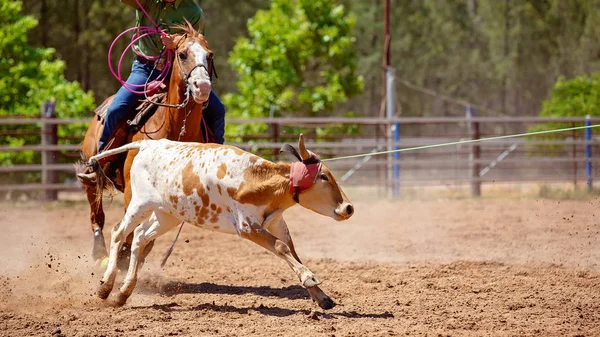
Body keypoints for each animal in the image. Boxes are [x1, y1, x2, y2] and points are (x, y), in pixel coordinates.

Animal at [77, 22, 213, 264]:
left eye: (209, 55)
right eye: (182, 54)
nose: (203, 87)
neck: (173, 128)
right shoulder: (134, 190)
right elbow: (129, 227)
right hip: (93, 178)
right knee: (97, 213)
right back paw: (100, 253)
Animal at [88, 134, 352, 308]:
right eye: (324, 176)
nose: (348, 208)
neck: (254, 180)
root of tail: (148, 144)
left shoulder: (277, 223)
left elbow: (291, 250)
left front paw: (321, 296)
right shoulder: (247, 227)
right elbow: (280, 247)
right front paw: (309, 277)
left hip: (167, 215)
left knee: (140, 238)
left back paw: (124, 291)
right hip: (140, 203)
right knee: (118, 233)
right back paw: (105, 287)